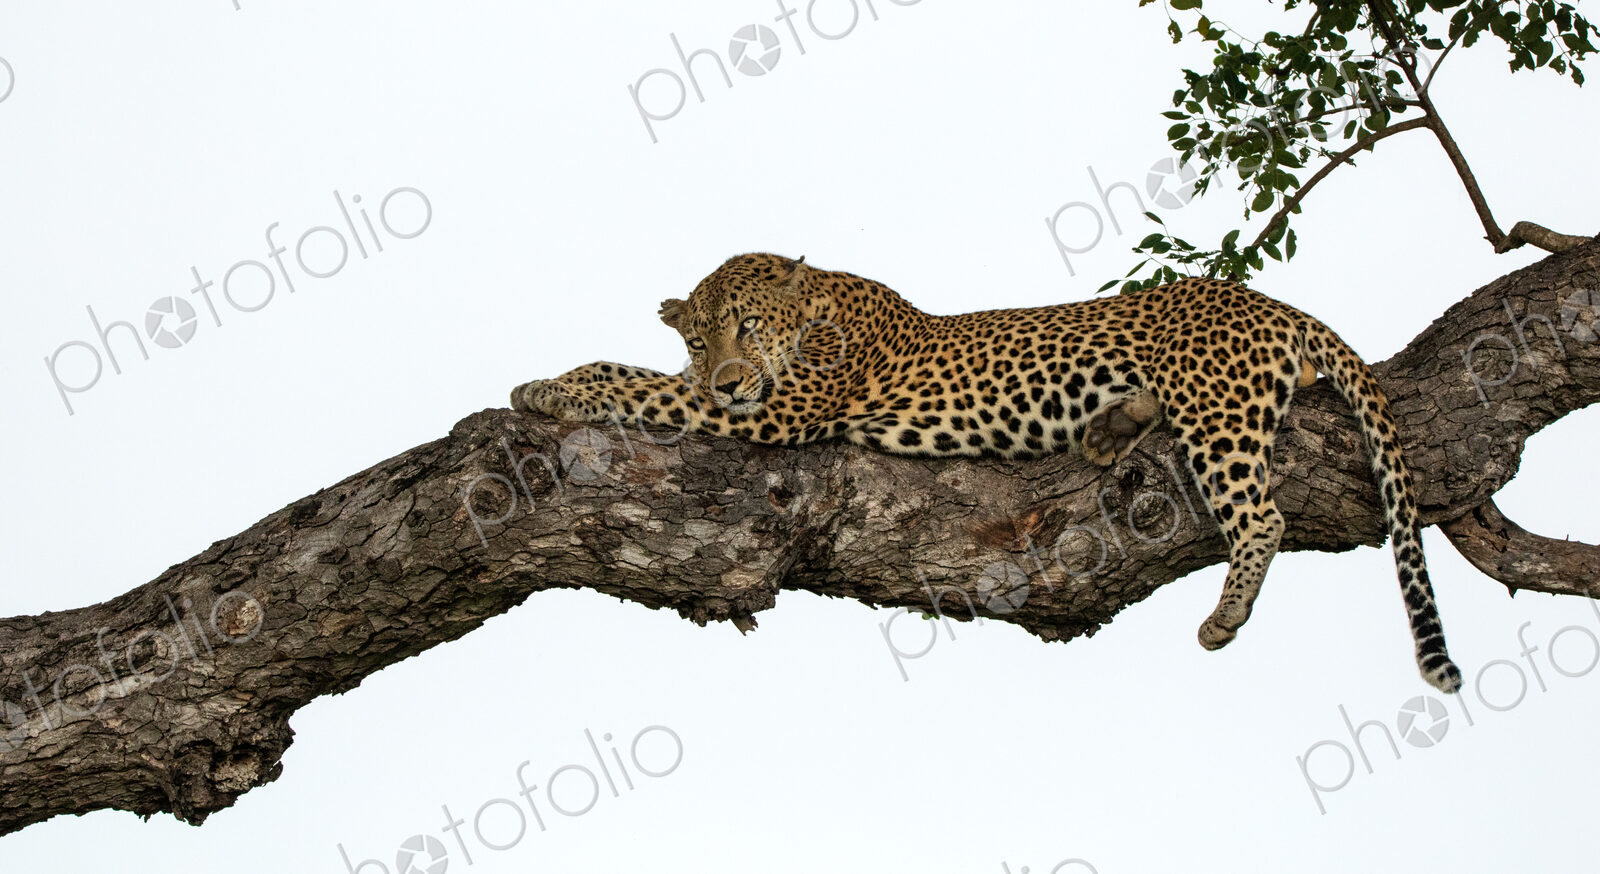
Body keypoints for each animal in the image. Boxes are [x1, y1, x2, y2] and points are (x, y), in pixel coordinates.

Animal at [511, 252, 1462, 692]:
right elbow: (646, 376)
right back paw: (1113, 428)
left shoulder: (781, 407)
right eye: (699, 338)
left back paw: (1223, 618)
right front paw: (549, 383)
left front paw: (546, 388)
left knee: (1261, 515)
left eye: (746, 325)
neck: (816, 306)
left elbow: (631, 383)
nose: (727, 377)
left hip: (1217, 409)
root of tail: (1275, 303)